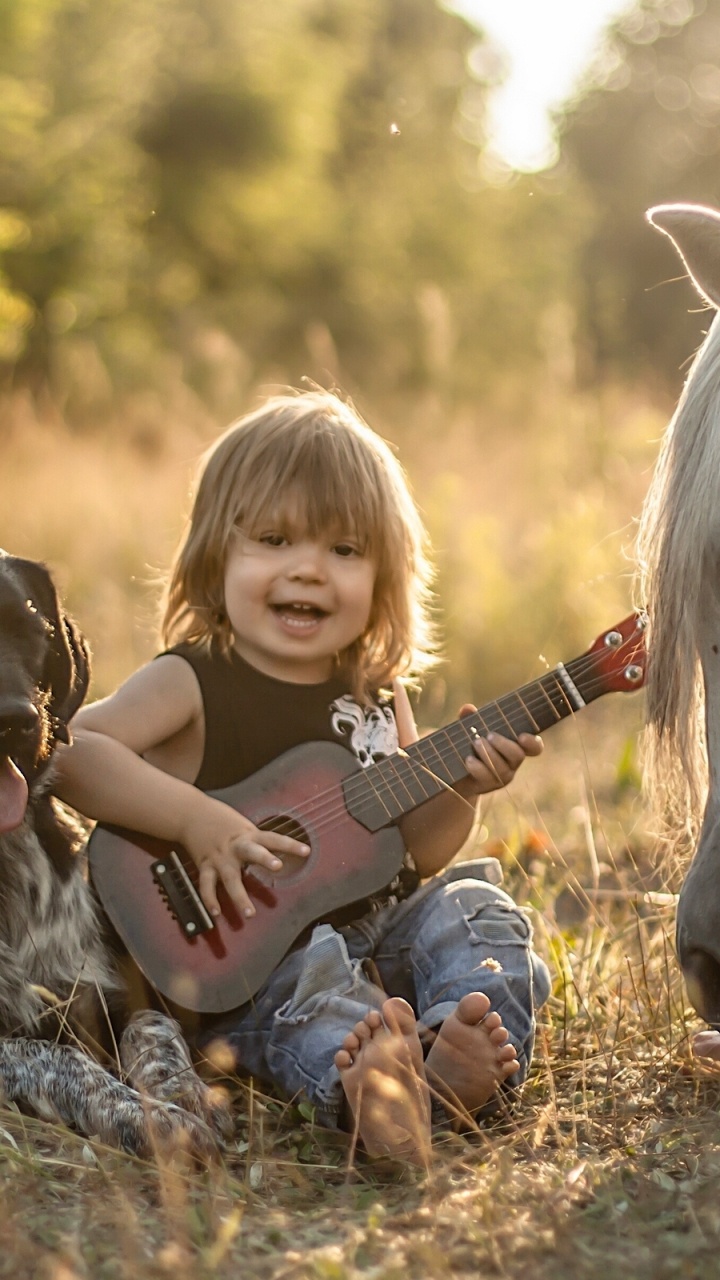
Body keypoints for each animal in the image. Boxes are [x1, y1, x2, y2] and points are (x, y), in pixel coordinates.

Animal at [0, 550, 229, 1162]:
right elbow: (57, 1058)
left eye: (33, 630)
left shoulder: (117, 989)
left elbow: (153, 1031)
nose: (15, 720)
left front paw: (179, 1094)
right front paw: (141, 1115)